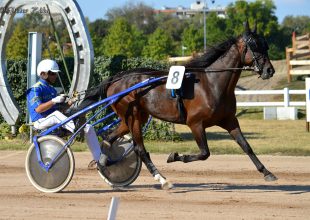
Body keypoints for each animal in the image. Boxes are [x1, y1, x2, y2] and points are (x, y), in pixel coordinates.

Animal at [81, 21, 276, 188]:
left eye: (266, 45)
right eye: (254, 46)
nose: (269, 70)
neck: (211, 83)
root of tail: (116, 78)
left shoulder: (229, 120)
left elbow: (246, 146)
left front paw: (267, 172)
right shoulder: (195, 123)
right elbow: (204, 153)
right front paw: (174, 156)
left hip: (133, 117)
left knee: (110, 137)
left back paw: (104, 163)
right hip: (133, 116)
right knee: (139, 149)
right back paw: (162, 179)